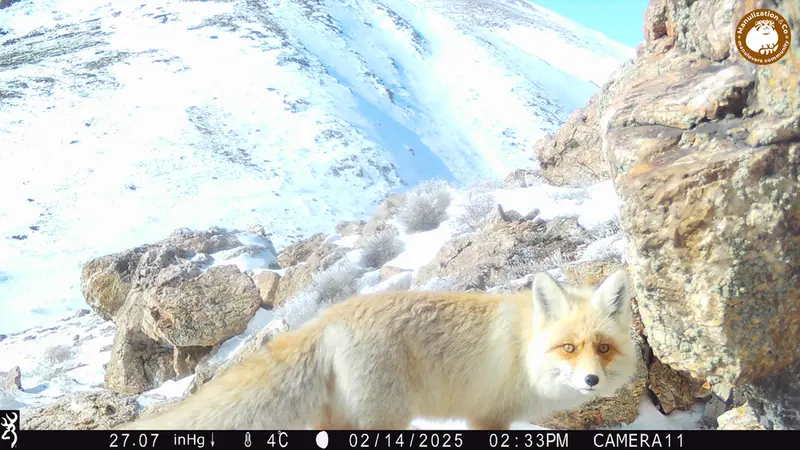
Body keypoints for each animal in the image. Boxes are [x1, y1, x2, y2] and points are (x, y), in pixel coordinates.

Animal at [116, 270, 638, 430]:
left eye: (603, 348)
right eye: (569, 347)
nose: (591, 380)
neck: (522, 350)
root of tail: (329, 317)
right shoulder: (488, 417)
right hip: (385, 416)